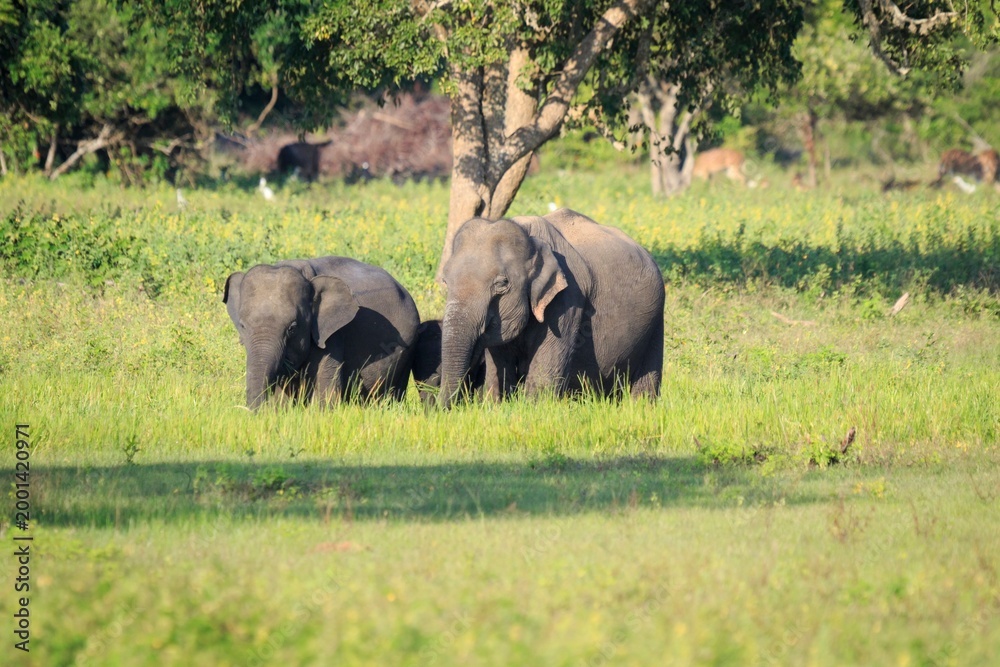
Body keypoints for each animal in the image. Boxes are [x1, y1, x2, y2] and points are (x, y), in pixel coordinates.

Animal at [438, 208, 664, 408]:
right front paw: (496, 406)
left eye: (502, 284)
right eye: (446, 281)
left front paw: (533, 409)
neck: (529, 236)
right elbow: (500, 364)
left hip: (655, 321)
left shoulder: (567, 299)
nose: (443, 409)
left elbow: (544, 376)